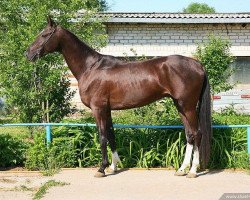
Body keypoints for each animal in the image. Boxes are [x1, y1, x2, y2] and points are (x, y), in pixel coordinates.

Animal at [26, 16, 212, 178]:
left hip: (188, 106)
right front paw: (113, 167)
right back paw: (181, 169)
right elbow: (111, 135)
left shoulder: (98, 109)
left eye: (44, 35)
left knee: (197, 134)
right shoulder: (106, 109)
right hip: (180, 106)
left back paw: (193, 171)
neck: (90, 67)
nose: (28, 54)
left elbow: (102, 136)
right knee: (189, 134)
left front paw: (101, 169)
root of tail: (198, 64)